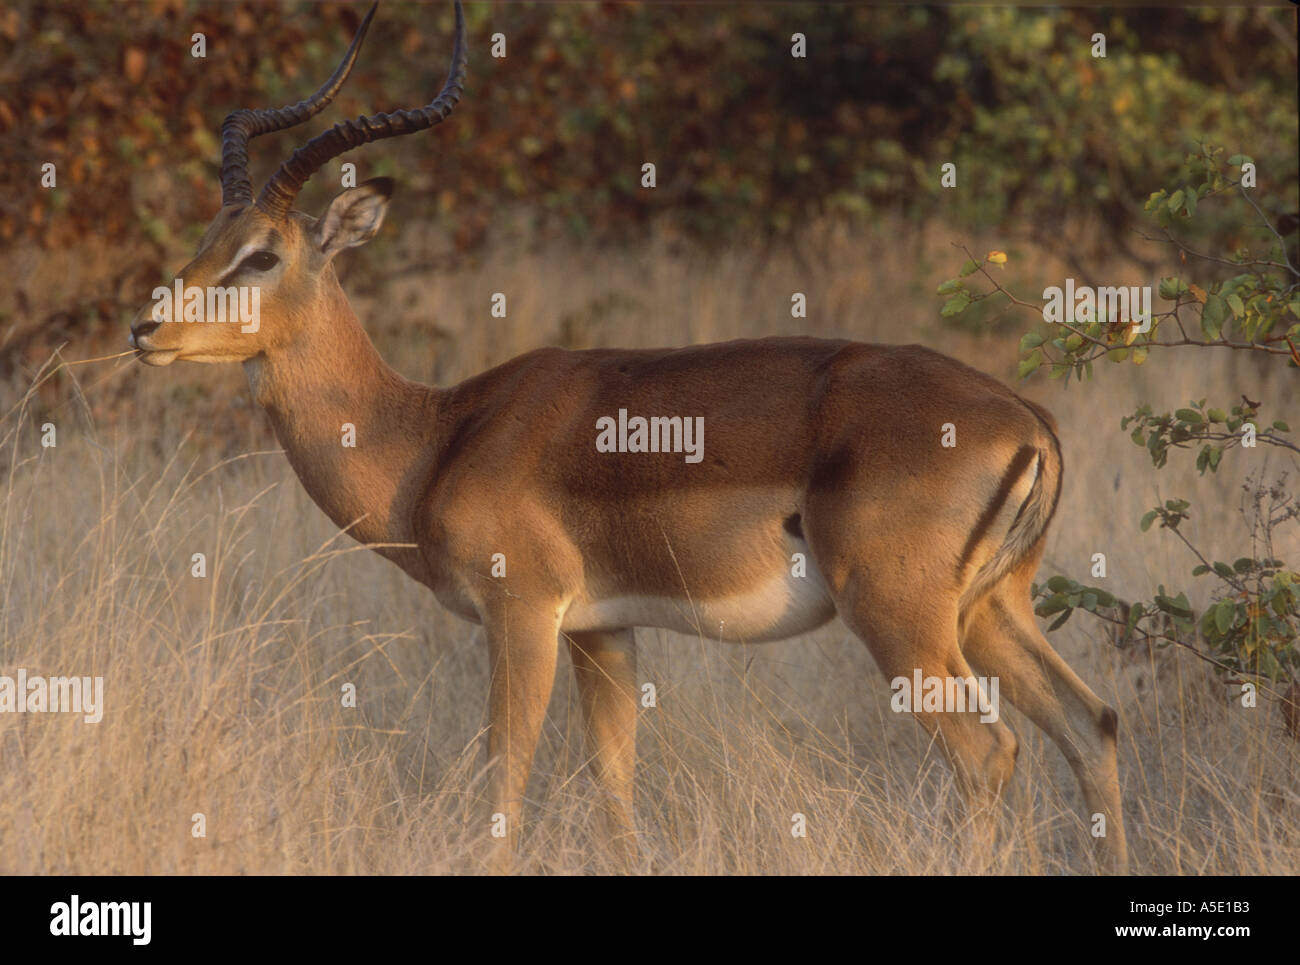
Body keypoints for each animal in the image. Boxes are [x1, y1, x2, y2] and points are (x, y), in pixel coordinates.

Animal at [128, 1, 1128, 873]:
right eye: (209, 233)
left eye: (262, 254)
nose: (146, 329)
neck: (436, 435)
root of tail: (1027, 419)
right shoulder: (604, 632)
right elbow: (615, 790)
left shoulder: (523, 616)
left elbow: (504, 784)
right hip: (991, 609)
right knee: (1092, 725)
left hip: (900, 616)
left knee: (987, 750)